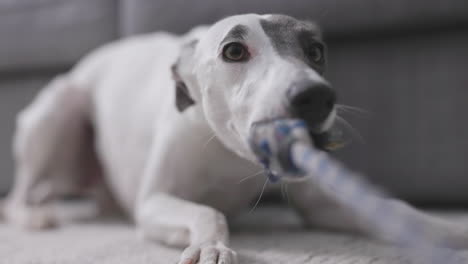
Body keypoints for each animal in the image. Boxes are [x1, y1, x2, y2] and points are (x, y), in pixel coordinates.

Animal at [3, 13, 468, 264]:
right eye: (233, 51)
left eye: (316, 51)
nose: (315, 96)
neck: (230, 155)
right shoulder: (153, 204)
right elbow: (209, 213)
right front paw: (211, 246)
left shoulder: (322, 203)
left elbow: (398, 211)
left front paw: (447, 231)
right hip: (58, 113)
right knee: (19, 195)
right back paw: (34, 216)